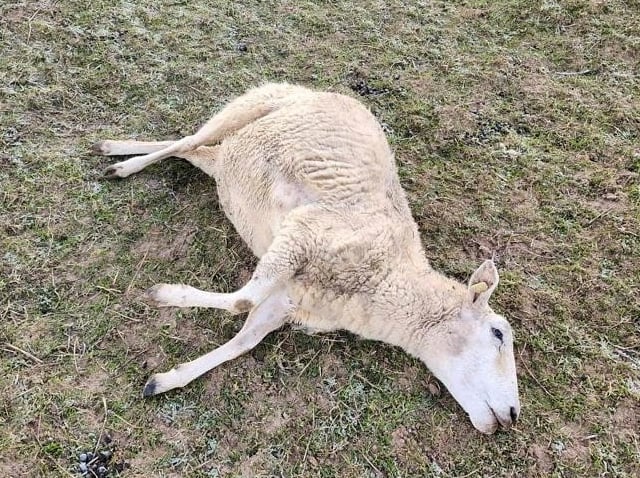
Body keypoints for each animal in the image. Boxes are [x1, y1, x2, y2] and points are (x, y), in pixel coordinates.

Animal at [93, 83, 520, 434]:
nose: (513, 415)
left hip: (227, 156)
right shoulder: (304, 232)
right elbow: (240, 300)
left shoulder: (288, 298)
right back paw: (120, 161)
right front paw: (164, 294)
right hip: (248, 107)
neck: (382, 283)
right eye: (499, 333)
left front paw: (165, 380)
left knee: (193, 149)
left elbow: (243, 340)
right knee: (186, 142)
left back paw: (113, 148)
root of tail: (311, 89)